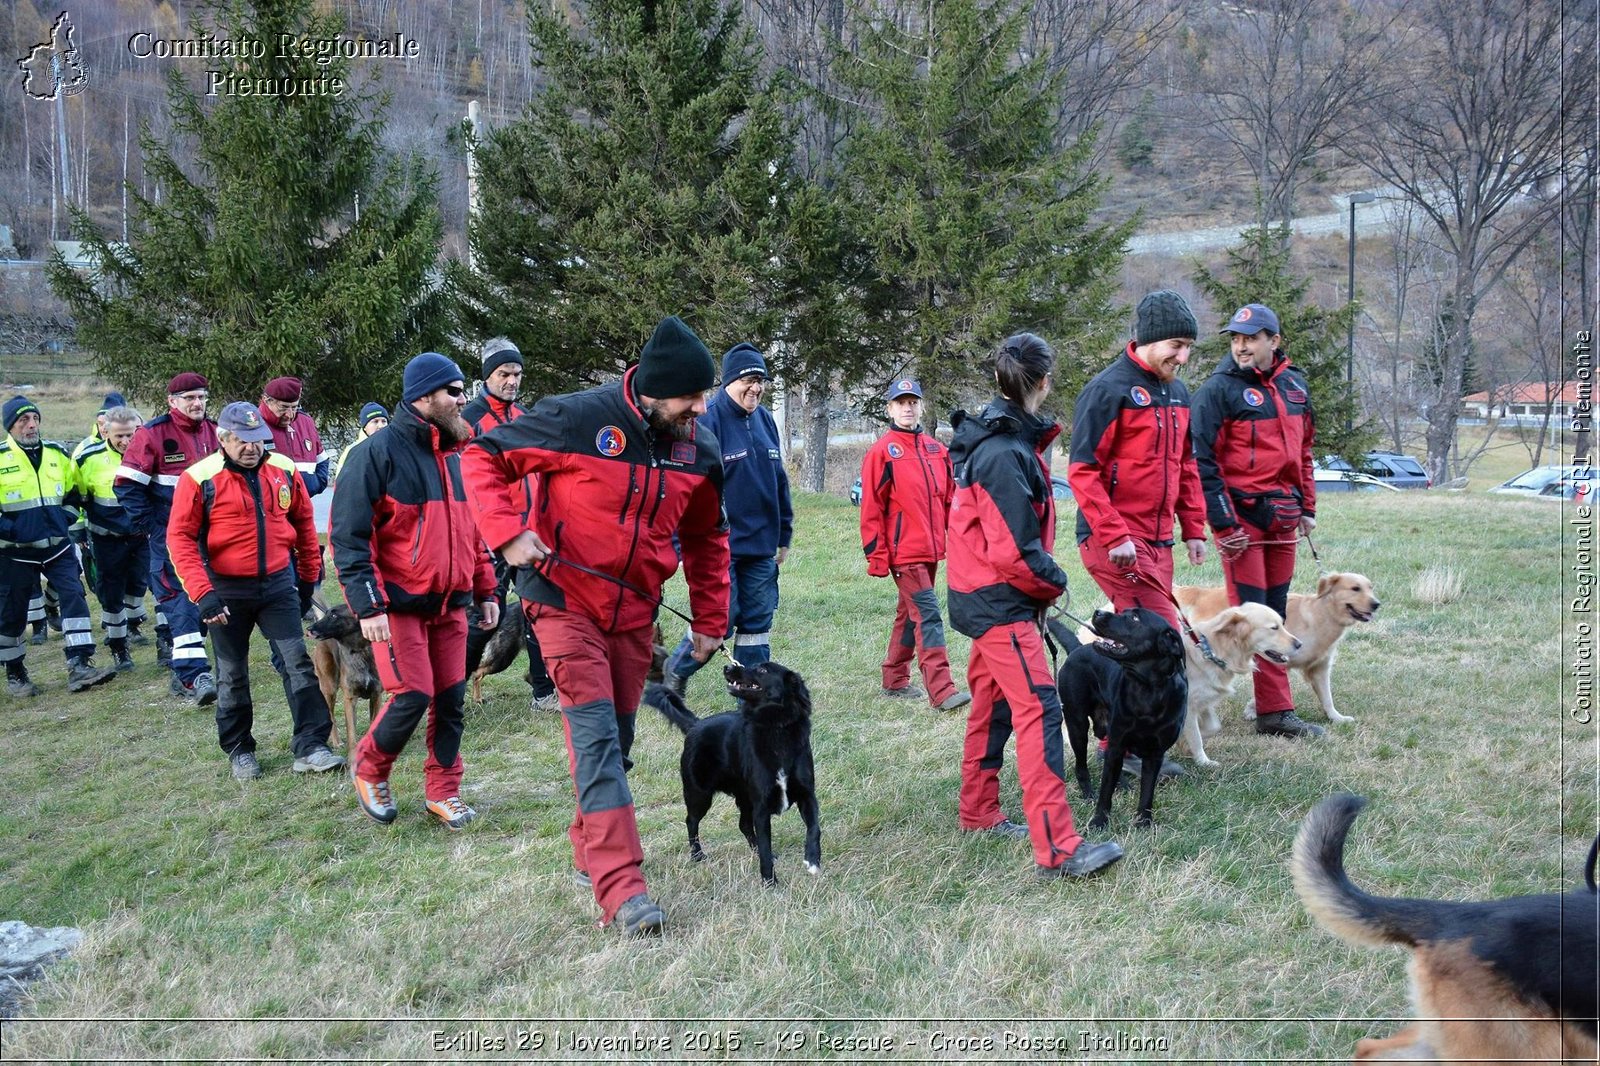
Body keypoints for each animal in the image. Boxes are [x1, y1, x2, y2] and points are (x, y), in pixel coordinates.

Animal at [643, 665, 825, 877]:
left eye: (763, 669)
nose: (727, 667)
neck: (775, 727)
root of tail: (695, 724)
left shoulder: (807, 795)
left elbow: (814, 828)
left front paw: (812, 859)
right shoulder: (761, 806)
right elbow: (765, 846)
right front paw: (769, 879)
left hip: (744, 797)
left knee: (743, 825)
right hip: (699, 793)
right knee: (691, 821)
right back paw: (697, 855)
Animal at [1049, 605, 1190, 832]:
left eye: (1134, 618)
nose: (1097, 612)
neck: (1146, 691)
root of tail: (1078, 648)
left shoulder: (1155, 754)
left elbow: (1147, 792)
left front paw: (1144, 822)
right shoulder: (1117, 743)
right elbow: (1105, 792)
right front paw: (1098, 821)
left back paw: (1122, 785)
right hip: (1077, 724)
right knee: (1082, 766)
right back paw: (1088, 793)